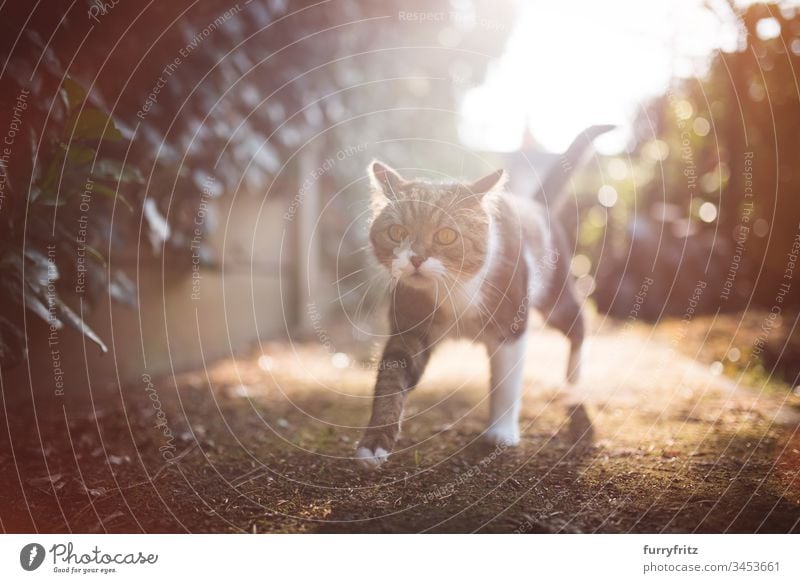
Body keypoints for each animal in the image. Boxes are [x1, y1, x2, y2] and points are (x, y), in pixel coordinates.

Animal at [356, 125, 612, 468]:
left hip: (553, 295)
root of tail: (534, 203)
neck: (454, 289)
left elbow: (505, 383)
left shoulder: (511, 324)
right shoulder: (409, 327)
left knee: (579, 321)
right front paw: (374, 443)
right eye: (397, 232)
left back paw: (573, 379)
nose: (415, 259)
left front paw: (501, 433)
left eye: (446, 235)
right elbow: (390, 379)